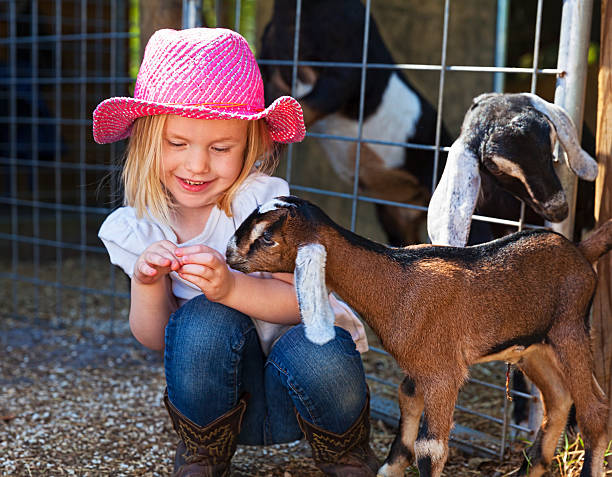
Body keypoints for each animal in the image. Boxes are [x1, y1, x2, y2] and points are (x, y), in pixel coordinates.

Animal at [226, 195, 612, 476]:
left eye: (267, 238)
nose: (229, 255)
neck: (399, 283)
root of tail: (581, 251)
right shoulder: (417, 366)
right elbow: (406, 403)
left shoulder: (443, 373)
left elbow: (431, 449)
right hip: (532, 346)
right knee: (558, 398)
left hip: (570, 329)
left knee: (594, 411)